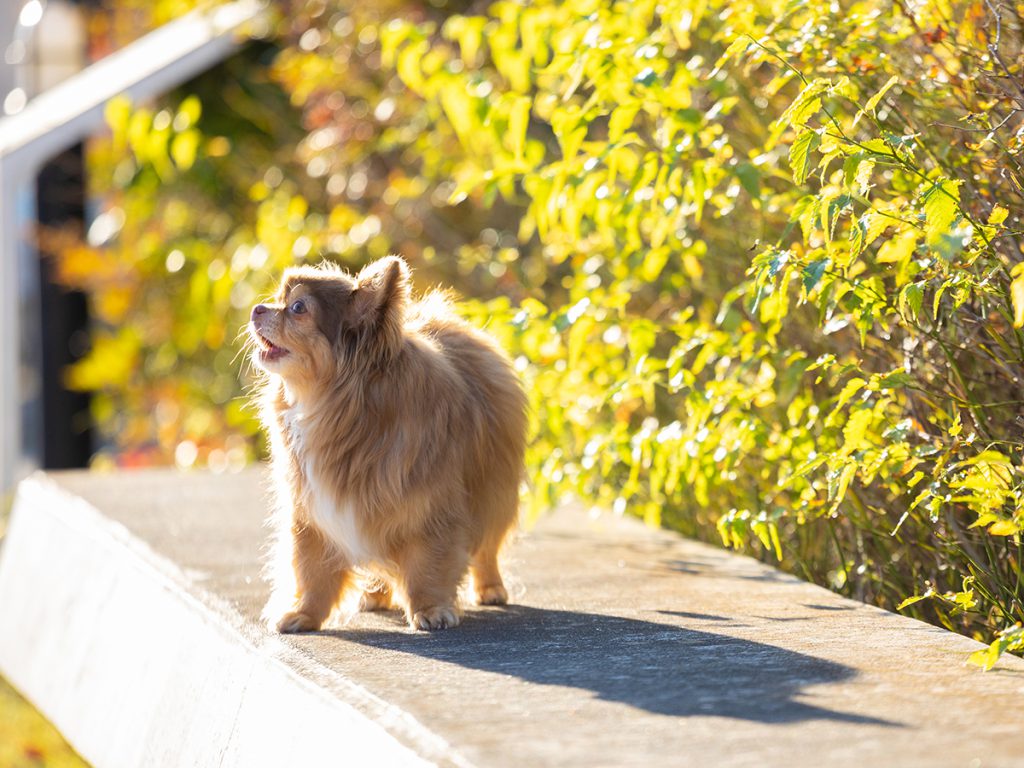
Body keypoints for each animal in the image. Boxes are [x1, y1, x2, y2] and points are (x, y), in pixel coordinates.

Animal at [247, 259, 528, 630]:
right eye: (278, 299)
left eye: (297, 308)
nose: (257, 308)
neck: (335, 411)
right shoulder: (312, 517)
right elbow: (311, 572)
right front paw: (303, 615)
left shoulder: (429, 511)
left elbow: (428, 566)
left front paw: (430, 610)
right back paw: (375, 596)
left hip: (494, 494)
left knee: (486, 549)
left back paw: (491, 589)